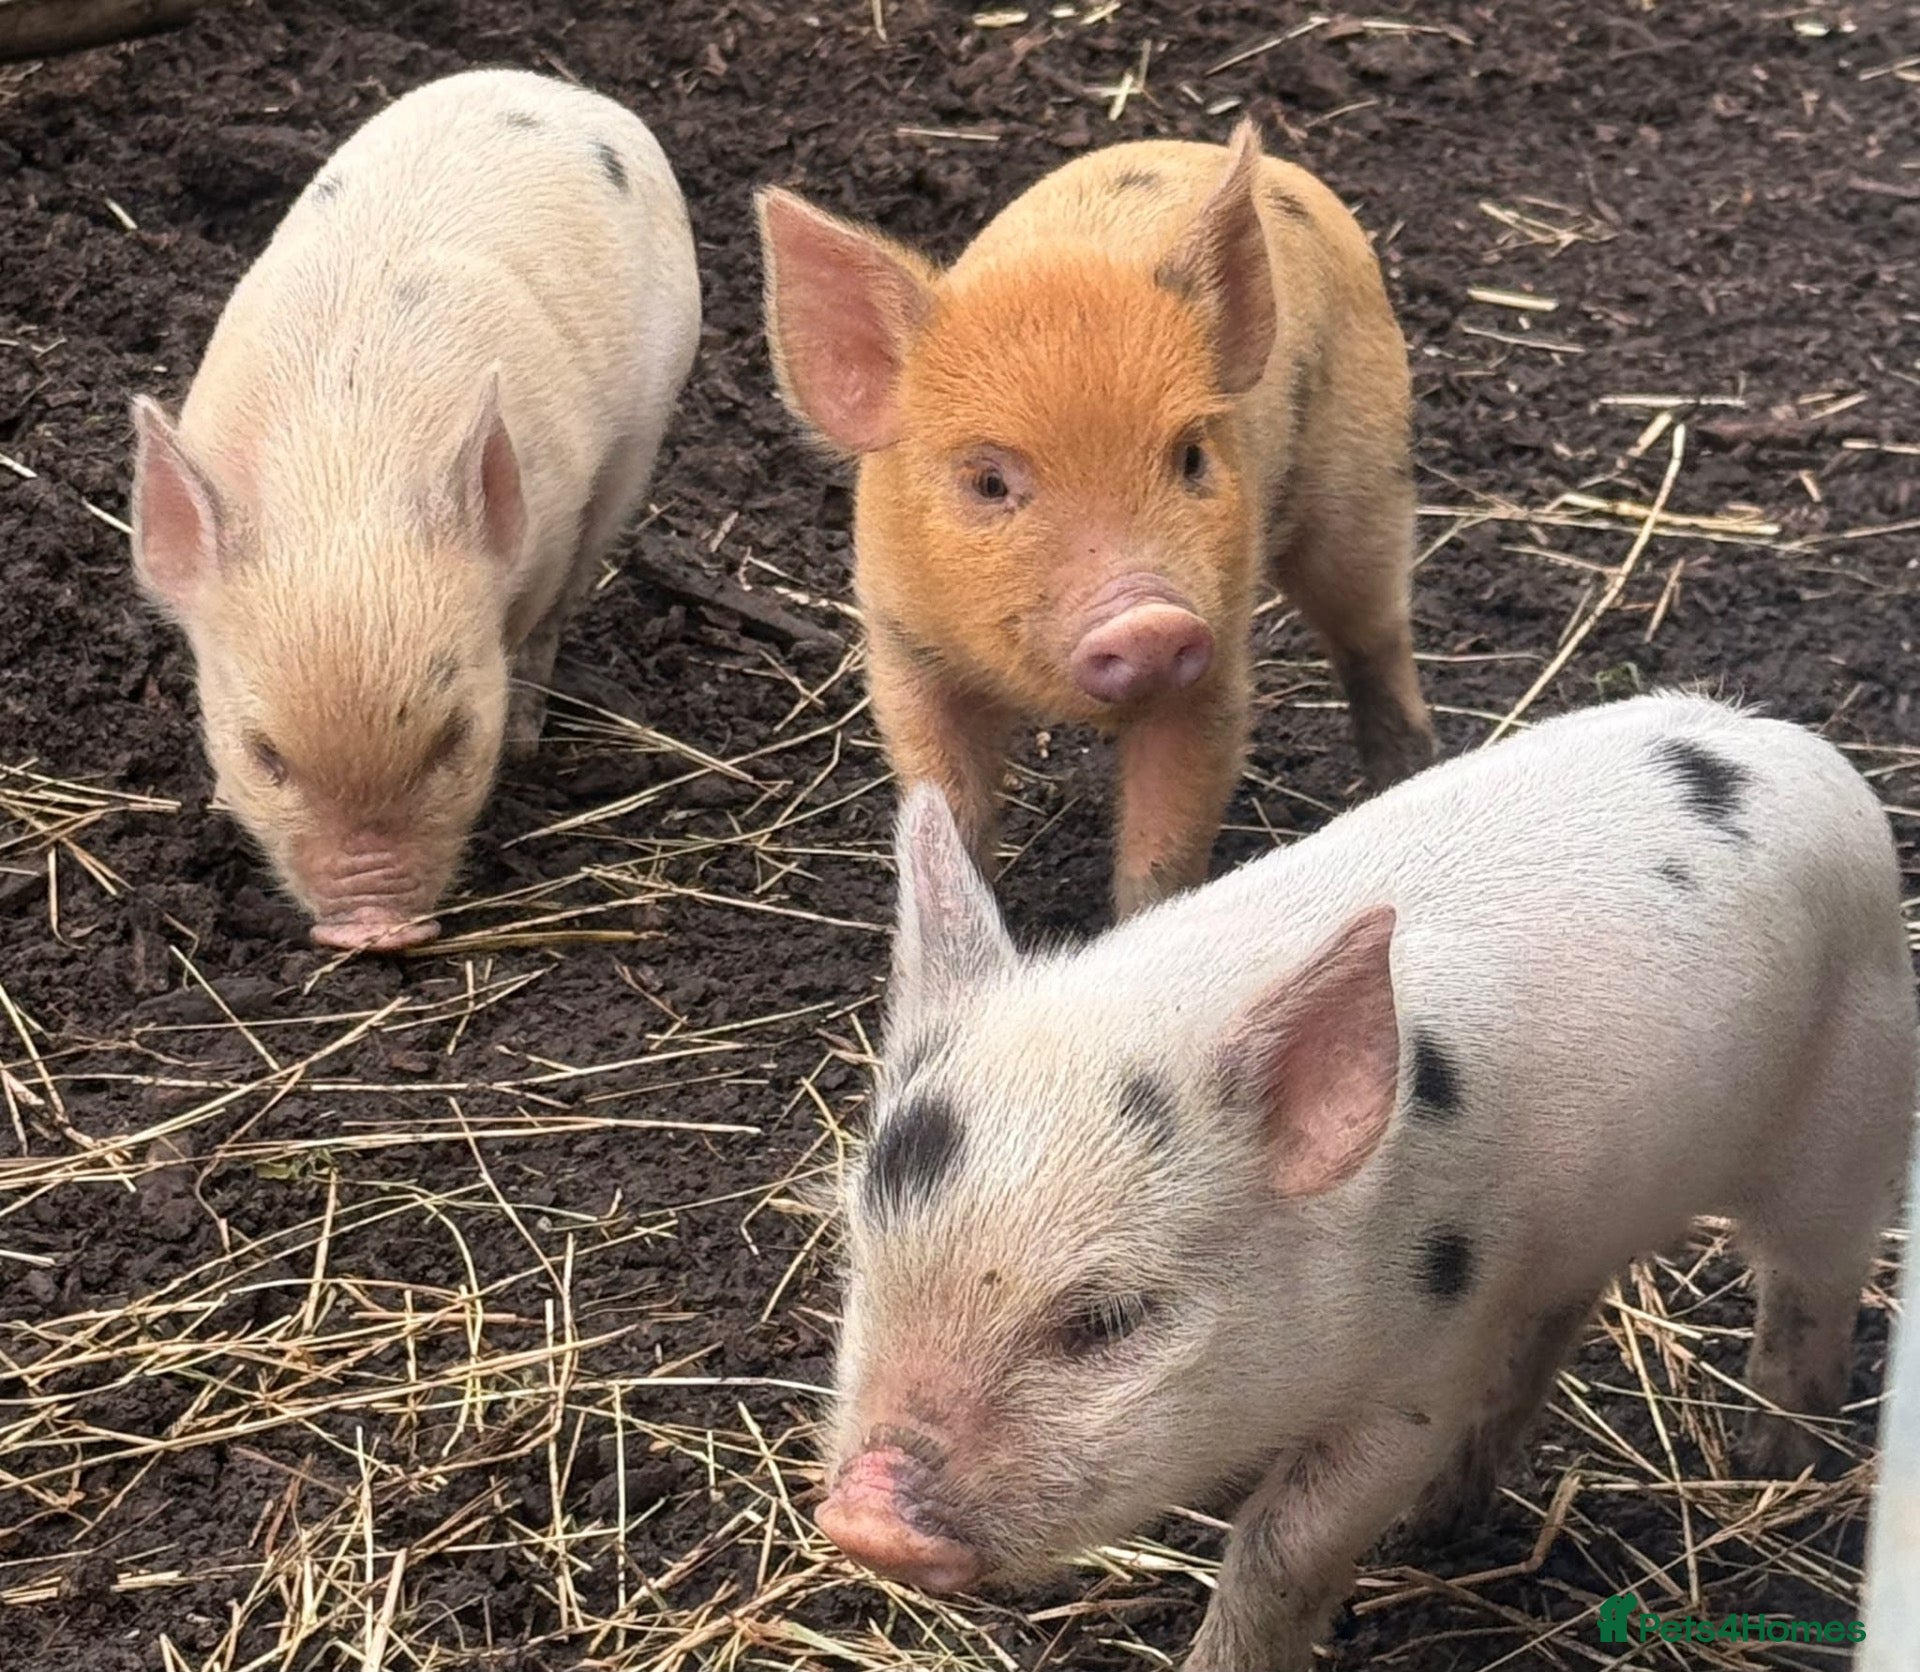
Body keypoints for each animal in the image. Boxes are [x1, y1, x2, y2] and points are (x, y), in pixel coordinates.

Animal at [129, 69, 700, 950]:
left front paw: (519, 744)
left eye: (454, 739)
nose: (374, 930)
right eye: (264, 755)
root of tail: (564, 92)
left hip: (649, 420)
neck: (343, 468)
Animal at [757, 121, 1436, 920]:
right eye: (988, 481)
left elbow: (1163, 849)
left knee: (1375, 638)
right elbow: (949, 811)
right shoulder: (903, 649)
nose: (1148, 622)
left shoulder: (1212, 666)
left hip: (1364, 474)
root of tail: (1290, 177)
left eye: (1191, 456)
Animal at [818, 692, 1916, 1671]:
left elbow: (1282, 1544)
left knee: (1815, 1284)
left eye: (1109, 1320)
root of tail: (1792, 743)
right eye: (863, 1266)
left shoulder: (1421, 1365)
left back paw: (1776, 1461)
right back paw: (1448, 1525)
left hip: (1850, 1113)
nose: (864, 1512)